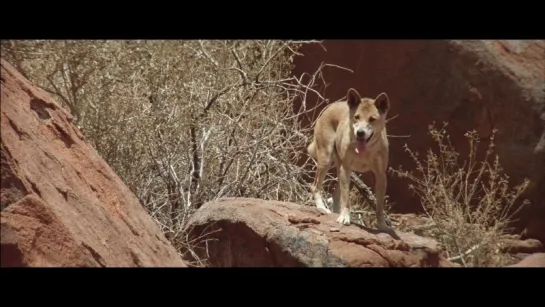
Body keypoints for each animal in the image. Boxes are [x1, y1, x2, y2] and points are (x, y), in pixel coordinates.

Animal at [306, 88, 392, 232]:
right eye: (357, 117)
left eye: (372, 119)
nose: (360, 133)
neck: (365, 151)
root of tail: (330, 106)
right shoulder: (346, 168)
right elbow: (346, 199)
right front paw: (345, 218)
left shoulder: (381, 175)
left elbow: (379, 206)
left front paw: (382, 225)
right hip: (326, 160)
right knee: (315, 186)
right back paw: (322, 208)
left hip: (341, 168)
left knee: (335, 195)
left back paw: (335, 212)